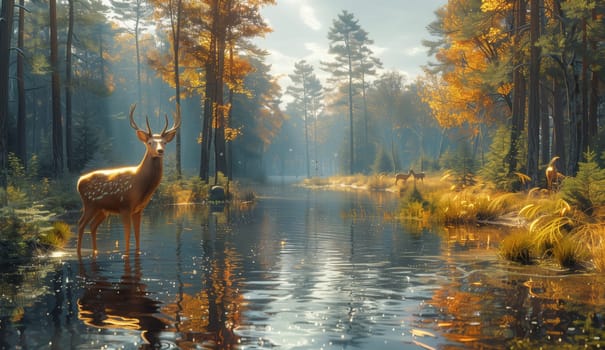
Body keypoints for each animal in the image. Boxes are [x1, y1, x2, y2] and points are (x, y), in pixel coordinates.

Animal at [76, 105, 179, 256]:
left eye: (164, 142)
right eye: (150, 143)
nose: (160, 151)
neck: (140, 184)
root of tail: (78, 182)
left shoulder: (138, 209)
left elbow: (137, 236)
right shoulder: (124, 206)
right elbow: (127, 236)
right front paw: (125, 254)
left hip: (102, 209)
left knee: (93, 225)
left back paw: (95, 251)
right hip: (90, 204)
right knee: (81, 224)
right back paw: (79, 251)